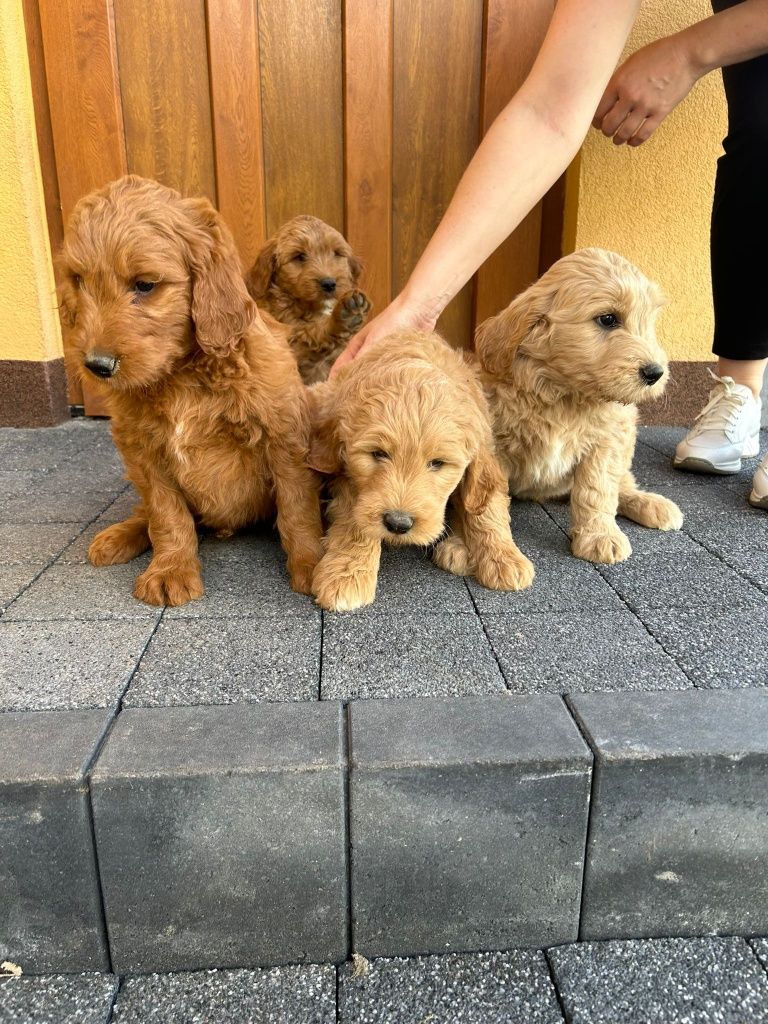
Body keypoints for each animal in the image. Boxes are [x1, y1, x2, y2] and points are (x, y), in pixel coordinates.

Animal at [307, 331, 536, 610]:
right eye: (378, 453)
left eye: (437, 463)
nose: (398, 523)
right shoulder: (349, 477)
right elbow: (355, 519)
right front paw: (347, 574)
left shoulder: (486, 450)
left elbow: (486, 506)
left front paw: (505, 558)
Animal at [475, 248, 684, 569]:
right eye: (608, 319)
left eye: (649, 321)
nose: (656, 373)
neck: (565, 395)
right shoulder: (495, 445)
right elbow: (489, 500)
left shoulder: (606, 443)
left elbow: (598, 489)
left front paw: (600, 536)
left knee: (622, 483)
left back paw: (650, 503)